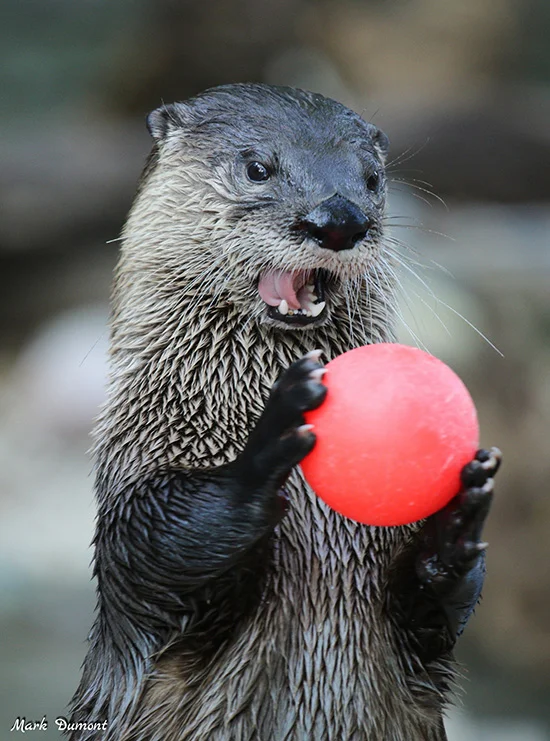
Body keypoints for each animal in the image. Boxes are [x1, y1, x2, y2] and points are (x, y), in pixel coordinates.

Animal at [70, 83, 500, 740]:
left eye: (372, 178)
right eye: (257, 168)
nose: (340, 220)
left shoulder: (419, 654)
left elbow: (432, 614)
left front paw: (454, 525)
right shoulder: (134, 482)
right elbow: (150, 553)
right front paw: (265, 449)